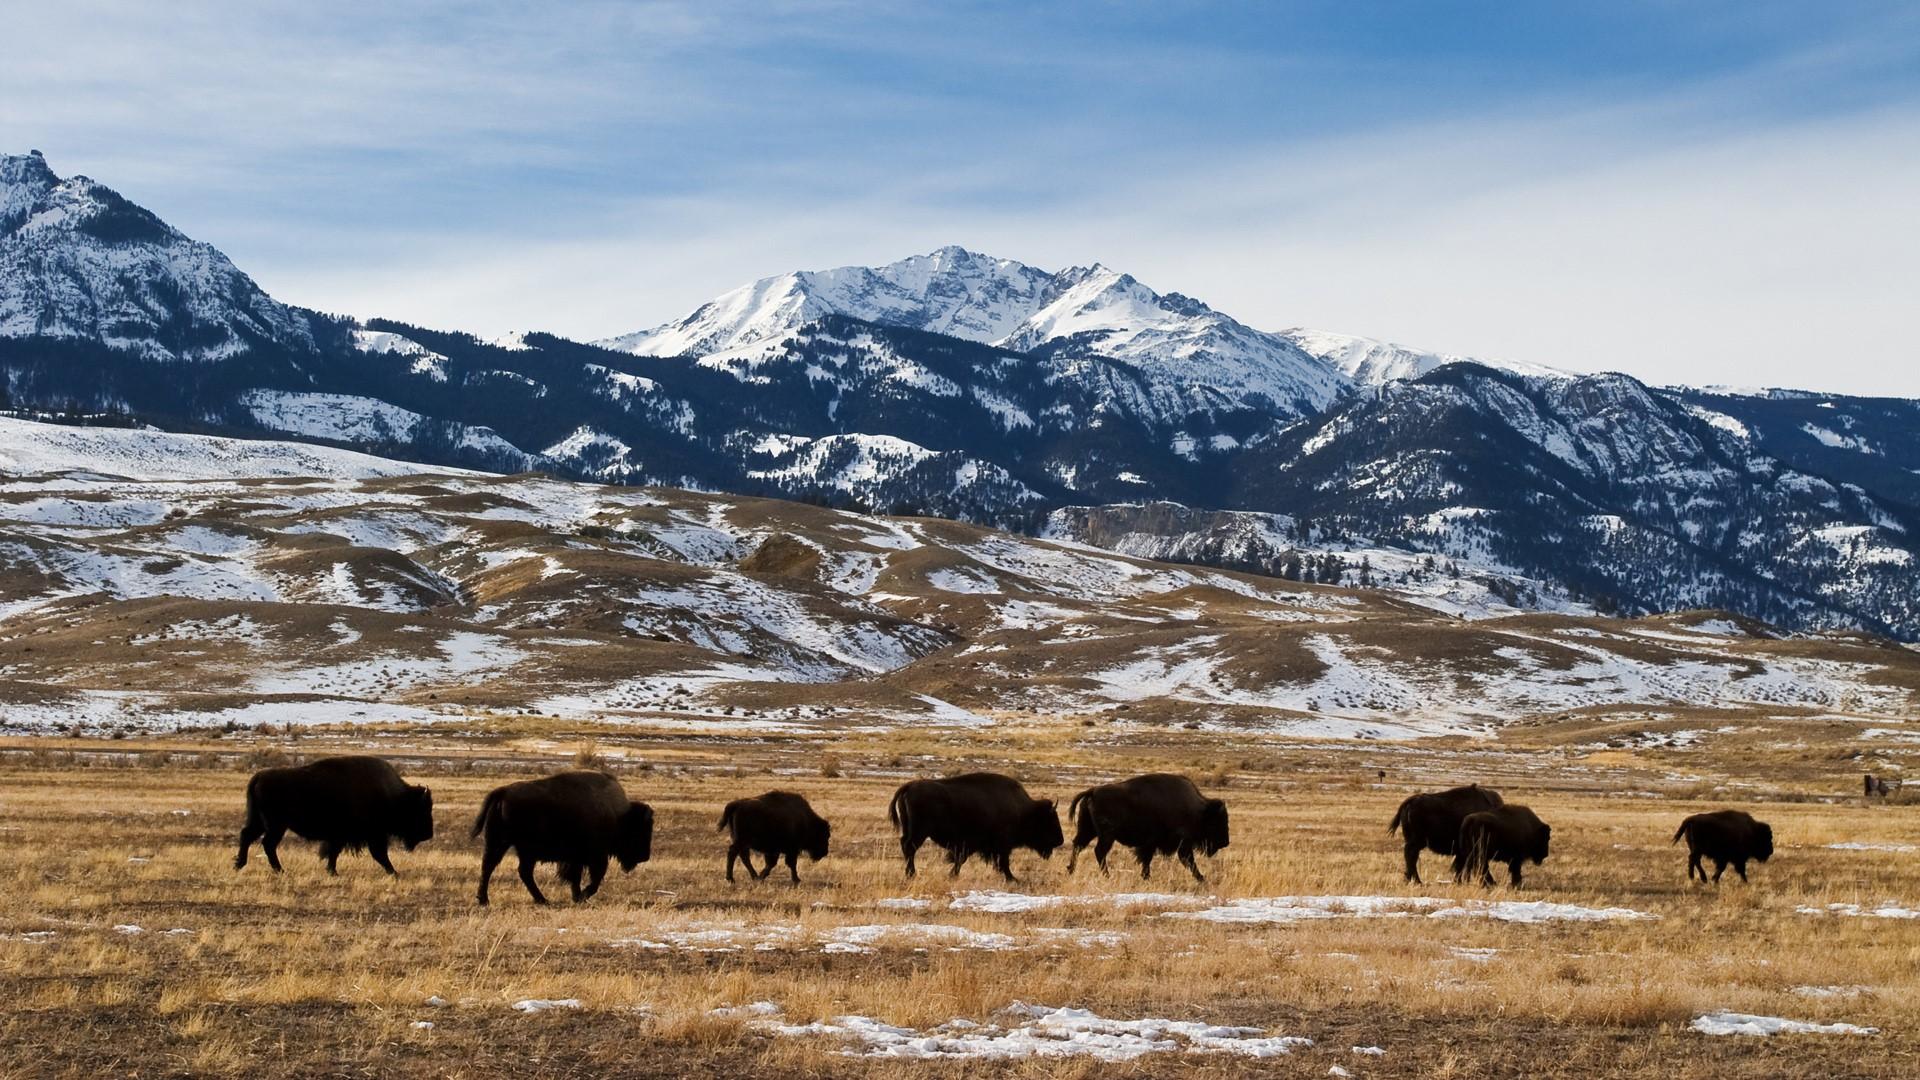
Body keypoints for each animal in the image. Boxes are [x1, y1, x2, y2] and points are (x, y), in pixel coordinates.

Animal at [235, 755, 433, 876]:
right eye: (421, 810)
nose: (428, 834)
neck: (392, 796)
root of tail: (259, 776)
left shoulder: (341, 836)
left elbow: (334, 852)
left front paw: (332, 871)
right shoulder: (371, 835)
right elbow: (379, 854)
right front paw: (394, 873)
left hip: (260, 821)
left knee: (247, 836)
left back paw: (239, 865)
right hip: (276, 825)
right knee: (267, 843)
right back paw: (279, 870)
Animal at [472, 770, 653, 905]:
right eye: (640, 831)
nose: (645, 856)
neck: (617, 815)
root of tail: (502, 792)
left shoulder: (576, 859)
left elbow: (576, 878)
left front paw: (577, 897)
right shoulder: (595, 857)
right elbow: (594, 879)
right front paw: (582, 896)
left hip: (510, 846)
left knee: (503, 869)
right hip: (512, 846)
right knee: (500, 869)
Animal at [888, 772, 1062, 882]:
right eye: (1050, 820)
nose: (1060, 840)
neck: (1023, 810)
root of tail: (909, 786)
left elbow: (962, 859)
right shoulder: (1000, 845)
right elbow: (1003, 862)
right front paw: (1013, 878)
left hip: (911, 830)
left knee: (906, 846)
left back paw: (910, 874)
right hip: (920, 832)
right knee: (910, 848)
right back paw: (911, 874)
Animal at [1066, 773, 1228, 882]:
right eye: (1216, 822)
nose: (1225, 842)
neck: (1197, 810)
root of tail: (1093, 791)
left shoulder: (1151, 844)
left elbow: (1146, 860)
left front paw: (1146, 876)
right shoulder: (1180, 844)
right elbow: (1187, 860)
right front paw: (1202, 878)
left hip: (1088, 830)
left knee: (1078, 845)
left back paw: (1071, 870)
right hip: (1107, 836)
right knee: (1098, 851)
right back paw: (1107, 875)